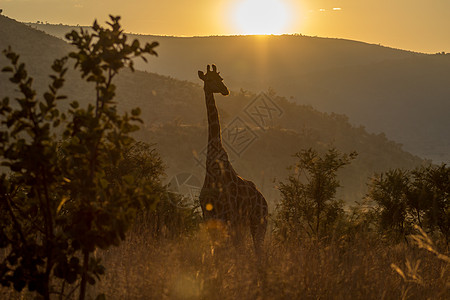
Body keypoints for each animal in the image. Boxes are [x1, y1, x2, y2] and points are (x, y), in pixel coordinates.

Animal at [197, 64, 268, 254]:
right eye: (209, 79)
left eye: (221, 79)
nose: (225, 90)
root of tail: (264, 201)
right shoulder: (209, 215)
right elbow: (215, 250)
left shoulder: (228, 214)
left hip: (258, 222)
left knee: (258, 251)